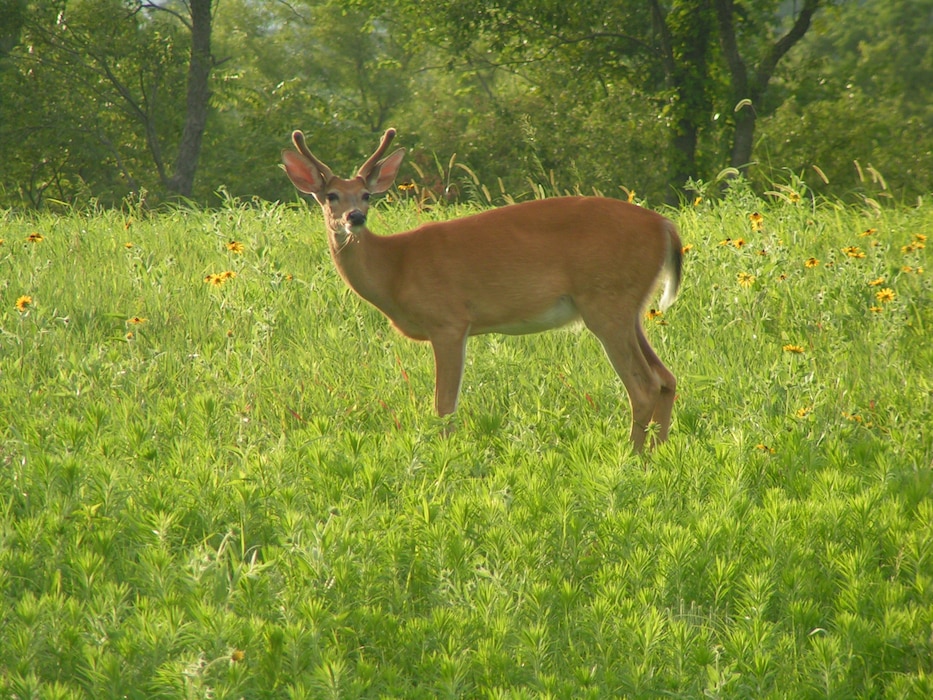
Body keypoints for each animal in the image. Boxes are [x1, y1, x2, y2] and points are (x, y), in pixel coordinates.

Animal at [280, 128, 680, 452]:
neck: (394, 268)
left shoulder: (448, 321)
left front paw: (444, 457)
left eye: (365, 195)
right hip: (629, 309)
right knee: (666, 378)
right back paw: (658, 455)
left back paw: (632, 457)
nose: (355, 218)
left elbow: (444, 405)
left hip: (606, 302)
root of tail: (665, 226)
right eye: (331, 195)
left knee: (644, 385)